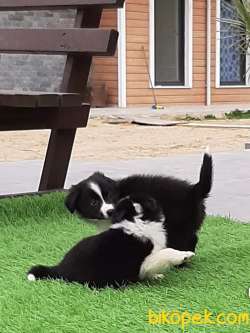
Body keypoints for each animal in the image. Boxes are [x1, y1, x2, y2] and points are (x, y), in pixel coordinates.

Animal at [27, 192, 195, 288]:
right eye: (148, 200)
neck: (136, 220)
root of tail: (59, 268)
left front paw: (156, 276)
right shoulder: (143, 262)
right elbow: (164, 253)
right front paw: (184, 255)